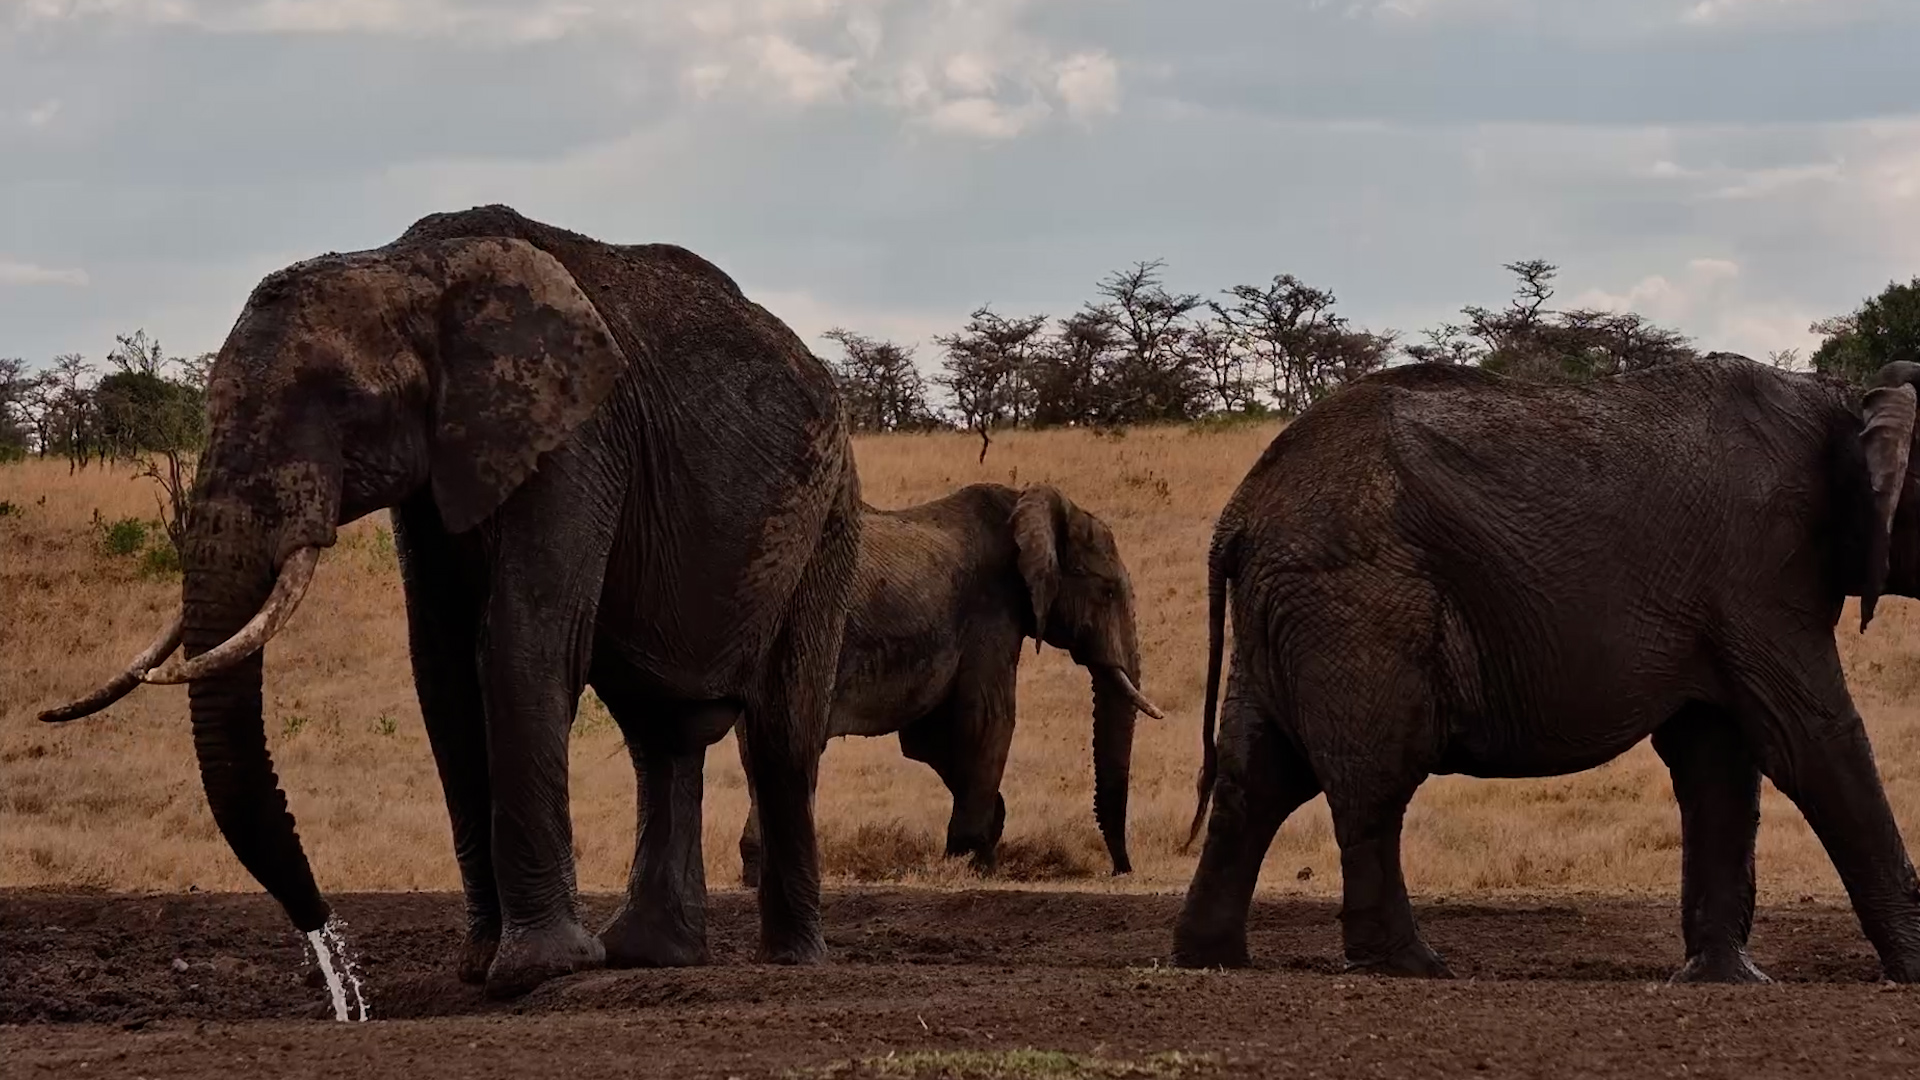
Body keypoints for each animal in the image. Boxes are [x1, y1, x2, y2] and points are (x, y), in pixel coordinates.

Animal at [39, 204, 862, 999]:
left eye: (349, 400)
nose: (327, 949)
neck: (410, 268)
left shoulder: (577, 434)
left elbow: (521, 644)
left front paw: (539, 971)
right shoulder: (442, 467)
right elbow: (442, 670)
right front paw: (479, 966)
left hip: (828, 511)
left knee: (778, 737)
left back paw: (788, 961)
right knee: (662, 734)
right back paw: (648, 955)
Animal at [734, 482, 1165, 887]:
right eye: (1107, 592)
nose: (1120, 870)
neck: (1024, 503)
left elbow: (926, 740)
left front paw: (988, 836)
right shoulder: (992, 610)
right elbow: (989, 719)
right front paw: (975, 861)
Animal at [1172, 354, 1920, 984]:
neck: (1847, 401)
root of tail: (1238, 514)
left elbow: (1718, 760)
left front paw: (1724, 980)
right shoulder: (1761, 570)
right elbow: (1810, 740)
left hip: (1283, 612)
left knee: (1256, 780)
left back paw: (1211, 961)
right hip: (1358, 599)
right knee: (1374, 780)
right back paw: (1412, 968)